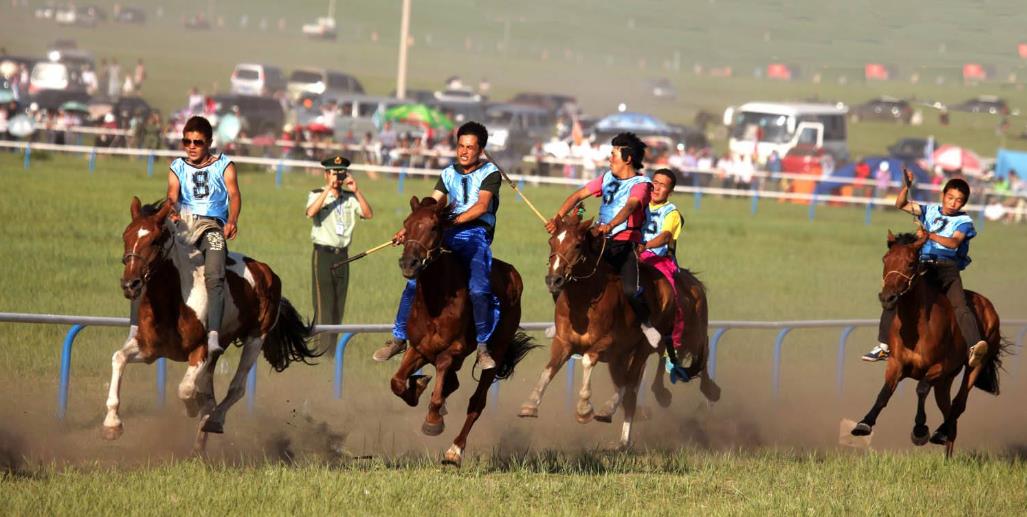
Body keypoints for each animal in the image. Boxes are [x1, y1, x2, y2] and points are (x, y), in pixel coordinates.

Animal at [109, 200, 318, 452]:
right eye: (126, 236)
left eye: (155, 240)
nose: (130, 284)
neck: (174, 299)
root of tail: (267, 272)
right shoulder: (149, 349)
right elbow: (119, 358)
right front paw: (112, 424)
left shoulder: (201, 349)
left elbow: (185, 389)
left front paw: (192, 407)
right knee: (211, 394)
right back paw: (199, 446)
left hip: (255, 338)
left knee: (236, 388)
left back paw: (215, 419)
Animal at [386, 196, 538, 466]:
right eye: (406, 223)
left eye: (434, 227)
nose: (409, 263)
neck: (436, 301)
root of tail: (513, 275)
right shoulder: (419, 348)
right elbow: (397, 382)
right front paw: (417, 385)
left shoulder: (452, 350)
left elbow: (438, 392)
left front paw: (433, 421)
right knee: (453, 383)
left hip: (497, 351)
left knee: (477, 401)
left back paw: (454, 450)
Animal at [517, 212, 718, 452]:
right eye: (551, 242)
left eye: (577, 245)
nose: (553, 280)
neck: (585, 301)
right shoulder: (564, 342)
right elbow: (548, 370)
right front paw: (530, 404)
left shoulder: (608, 343)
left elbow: (588, 361)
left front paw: (584, 409)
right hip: (622, 356)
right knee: (627, 385)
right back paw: (622, 432)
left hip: (648, 346)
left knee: (632, 384)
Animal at [850, 230, 1010, 456]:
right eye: (885, 259)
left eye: (910, 263)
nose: (887, 297)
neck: (916, 328)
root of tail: (989, 307)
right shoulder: (897, 364)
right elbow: (884, 393)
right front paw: (864, 423)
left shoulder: (939, 366)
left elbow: (921, 388)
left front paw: (919, 430)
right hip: (945, 381)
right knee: (949, 412)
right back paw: (946, 445)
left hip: (974, 366)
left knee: (959, 403)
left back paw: (940, 432)